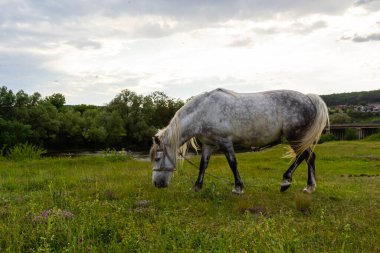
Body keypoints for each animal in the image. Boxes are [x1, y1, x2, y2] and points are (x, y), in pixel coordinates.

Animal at [150, 88, 328, 194]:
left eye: (157, 158)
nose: (156, 184)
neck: (203, 112)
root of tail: (309, 98)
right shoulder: (208, 144)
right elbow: (203, 165)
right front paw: (197, 186)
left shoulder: (225, 143)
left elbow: (232, 163)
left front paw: (238, 187)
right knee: (309, 158)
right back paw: (308, 186)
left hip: (296, 137)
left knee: (304, 157)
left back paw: (287, 182)